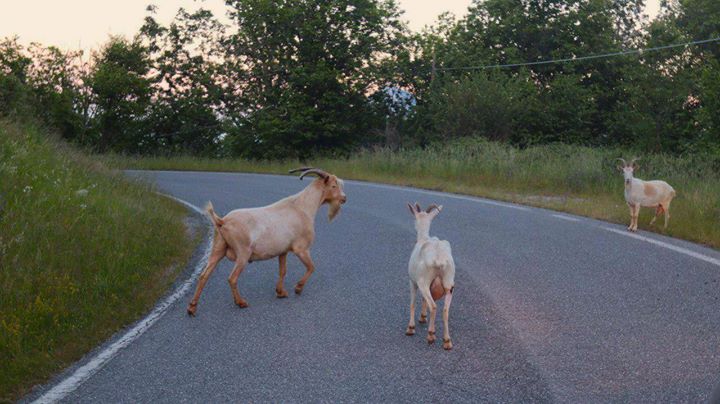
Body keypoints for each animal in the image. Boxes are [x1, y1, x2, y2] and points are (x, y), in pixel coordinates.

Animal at [187, 167, 348, 316]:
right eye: (334, 185)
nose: (344, 198)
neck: (302, 207)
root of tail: (223, 221)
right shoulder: (301, 249)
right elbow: (311, 267)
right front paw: (298, 288)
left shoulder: (283, 251)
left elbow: (283, 271)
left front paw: (281, 292)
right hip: (243, 253)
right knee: (232, 278)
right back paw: (241, 302)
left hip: (218, 248)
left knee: (204, 275)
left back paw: (192, 308)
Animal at [404, 204, 456, 348]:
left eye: (414, 220)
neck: (424, 238)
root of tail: (439, 259)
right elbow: (423, 300)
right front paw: (422, 318)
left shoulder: (412, 281)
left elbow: (412, 303)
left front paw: (411, 328)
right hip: (449, 284)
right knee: (445, 310)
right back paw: (447, 341)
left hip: (424, 282)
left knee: (433, 306)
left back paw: (431, 335)